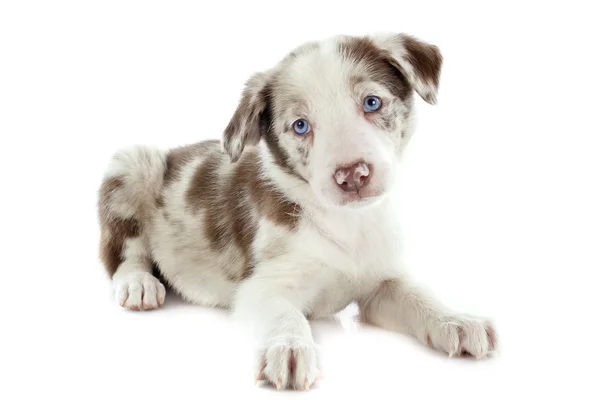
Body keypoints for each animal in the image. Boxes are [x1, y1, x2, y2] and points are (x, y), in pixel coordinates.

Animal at [97, 32, 496, 390]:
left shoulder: (381, 282)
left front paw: (456, 320)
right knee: (121, 253)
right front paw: (288, 348)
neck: (347, 222)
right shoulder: (263, 286)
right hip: (133, 162)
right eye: (301, 126)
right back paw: (139, 283)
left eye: (371, 103)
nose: (353, 175)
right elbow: (283, 313)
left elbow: (418, 295)